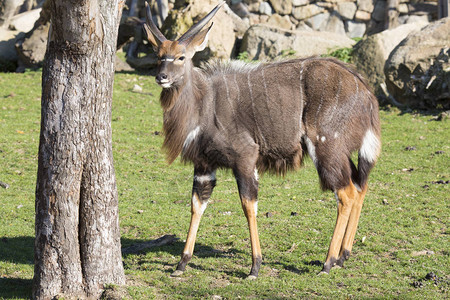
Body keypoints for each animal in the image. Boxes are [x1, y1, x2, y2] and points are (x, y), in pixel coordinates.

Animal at [143, 1, 380, 280]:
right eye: (159, 56)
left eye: (181, 57)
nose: (162, 77)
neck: (204, 104)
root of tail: (366, 93)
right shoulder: (203, 166)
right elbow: (196, 205)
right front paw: (181, 263)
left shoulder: (245, 157)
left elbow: (248, 205)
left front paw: (255, 267)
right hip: (341, 152)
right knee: (360, 184)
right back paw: (344, 255)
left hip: (326, 148)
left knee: (346, 192)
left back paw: (328, 262)